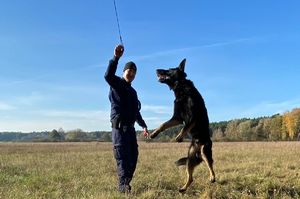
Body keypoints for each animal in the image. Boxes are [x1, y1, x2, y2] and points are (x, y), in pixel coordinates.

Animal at [150, 58, 216, 192]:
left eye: (169, 69)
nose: (156, 69)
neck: (182, 88)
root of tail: (197, 152)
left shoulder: (193, 116)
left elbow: (186, 127)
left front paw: (179, 137)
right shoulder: (177, 118)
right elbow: (163, 124)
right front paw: (154, 133)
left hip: (205, 150)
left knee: (210, 164)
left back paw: (212, 177)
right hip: (190, 160)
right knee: (191, 178)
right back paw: (183, 188)